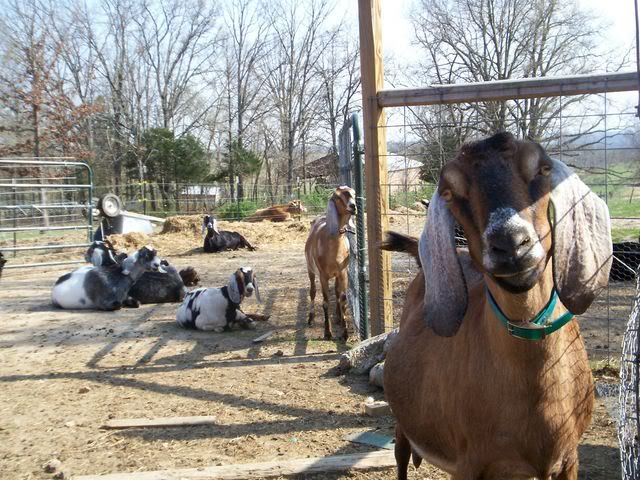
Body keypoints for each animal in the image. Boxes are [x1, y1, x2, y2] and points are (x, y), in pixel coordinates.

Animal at [305, 186, 357, 340]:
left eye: (353, 193)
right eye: (338, 197)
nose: (353, 206)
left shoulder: (342, 272)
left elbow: (343, 298)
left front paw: (345, 332)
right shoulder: (323, 275)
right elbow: (326, 301)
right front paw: (327, 332)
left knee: (337, 292)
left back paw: (338, 317)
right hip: (310, 269)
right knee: (312, 292)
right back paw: (311, 318)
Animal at [383, 132, 612, 480]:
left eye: (542, 168)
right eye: (449, 192)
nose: (510, 244)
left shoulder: (570, 458)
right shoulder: (469, 464)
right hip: (403, 423)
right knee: (400, 454)